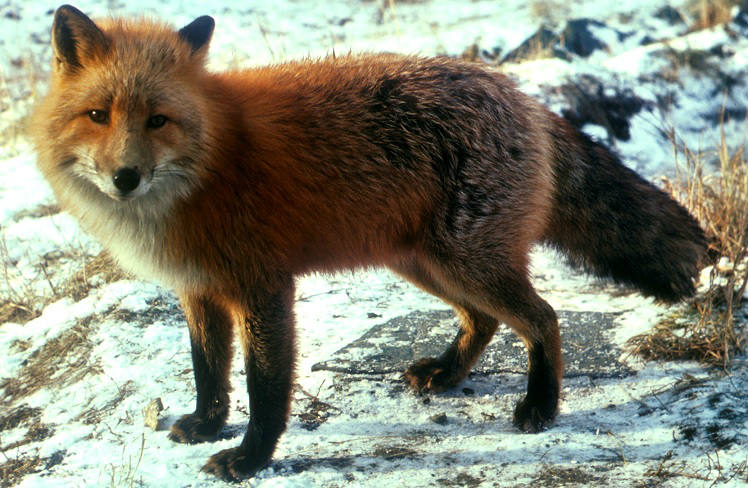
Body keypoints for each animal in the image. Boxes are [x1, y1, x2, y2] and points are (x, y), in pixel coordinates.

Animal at [31, 4, 707, 482]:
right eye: (98, 116)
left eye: (158, 121)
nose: (125, 177)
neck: (208, 166)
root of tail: (520, 94)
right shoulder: (199, 289)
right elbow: (208, 371)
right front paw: (206, 424)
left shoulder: (263, 287)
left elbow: (264, 386)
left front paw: (250, 459)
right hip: (426, 263)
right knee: (486, 321)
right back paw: (448, 372)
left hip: (464, 261)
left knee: (544, 318)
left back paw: (540, 406)